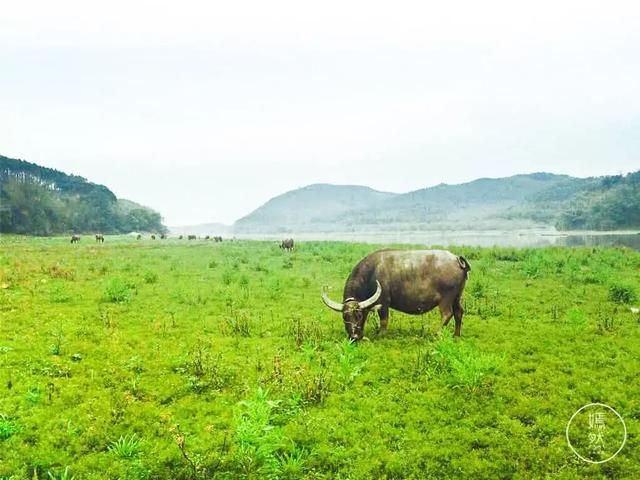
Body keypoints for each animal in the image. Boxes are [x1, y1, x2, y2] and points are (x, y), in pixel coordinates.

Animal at [324, 249, 470, 340]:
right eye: (345, 316)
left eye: (359, 315)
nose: (354, 337)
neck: (371, 273)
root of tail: (457, 259)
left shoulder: (383, 302)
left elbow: (384, 320)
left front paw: (381, 334)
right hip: (457, 297)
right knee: (459, 312)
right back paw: (456, 335)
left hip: (446, 298)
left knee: (447, 314)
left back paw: (438, 333)